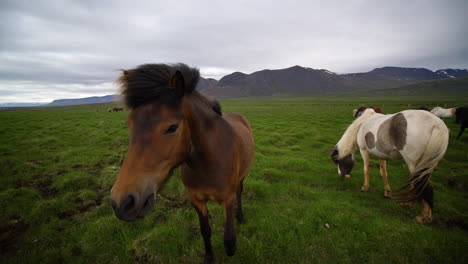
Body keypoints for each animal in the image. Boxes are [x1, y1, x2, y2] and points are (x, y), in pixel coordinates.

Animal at [109, 62, 254, 262]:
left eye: (172, 128)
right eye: (129, 124)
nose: (122, 202)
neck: (208, 164)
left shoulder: (228, 198)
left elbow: (229, 239)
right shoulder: (196, 200)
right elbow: (205, 230)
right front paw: (209, 256)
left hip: (241, 179)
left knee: (240, 191)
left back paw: (240, 216)